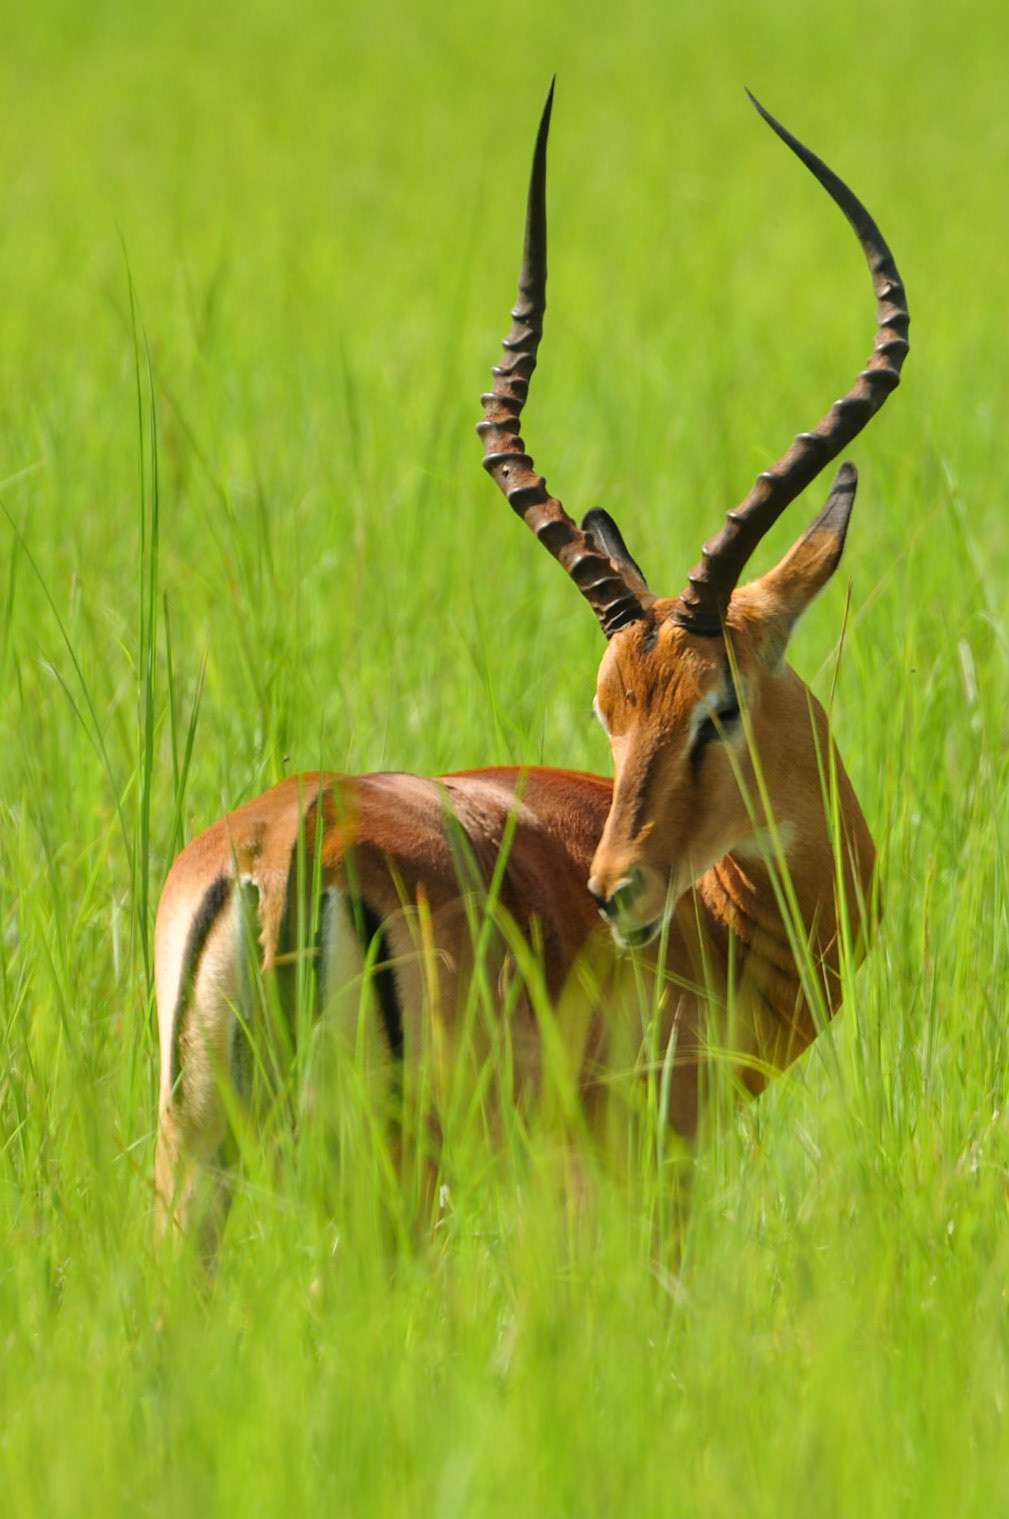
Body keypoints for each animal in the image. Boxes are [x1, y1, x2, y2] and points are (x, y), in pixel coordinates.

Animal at [154, 88, 908, 1242]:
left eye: (716, 705)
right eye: (613, 711)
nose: (617, 893)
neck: (723, 915)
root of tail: (282, 853)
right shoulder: (644, 1166)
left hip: (191, 1166)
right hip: (394, 1169)